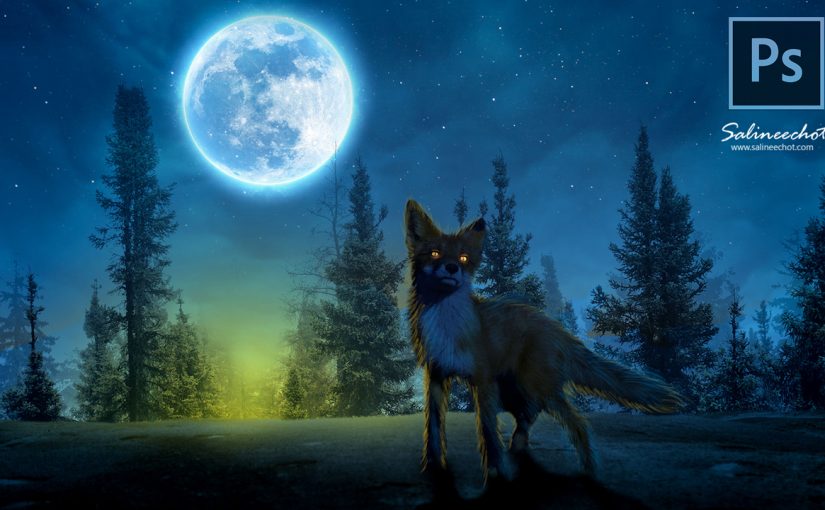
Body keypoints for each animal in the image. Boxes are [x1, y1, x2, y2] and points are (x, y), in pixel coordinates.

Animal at [404, 199, 683, 482]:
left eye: (463, 258)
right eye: (435, 254)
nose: (451, 268)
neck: (447, 323)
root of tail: (557, 328)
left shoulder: (482, 379)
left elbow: (487, 430)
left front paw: (495, 471)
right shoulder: (436, 375)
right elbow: (434, 427)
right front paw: (432, 465)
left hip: (535, 386)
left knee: (576, 422)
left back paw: (589, 469)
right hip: (518, 389)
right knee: (529, 415)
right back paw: (519, 449)